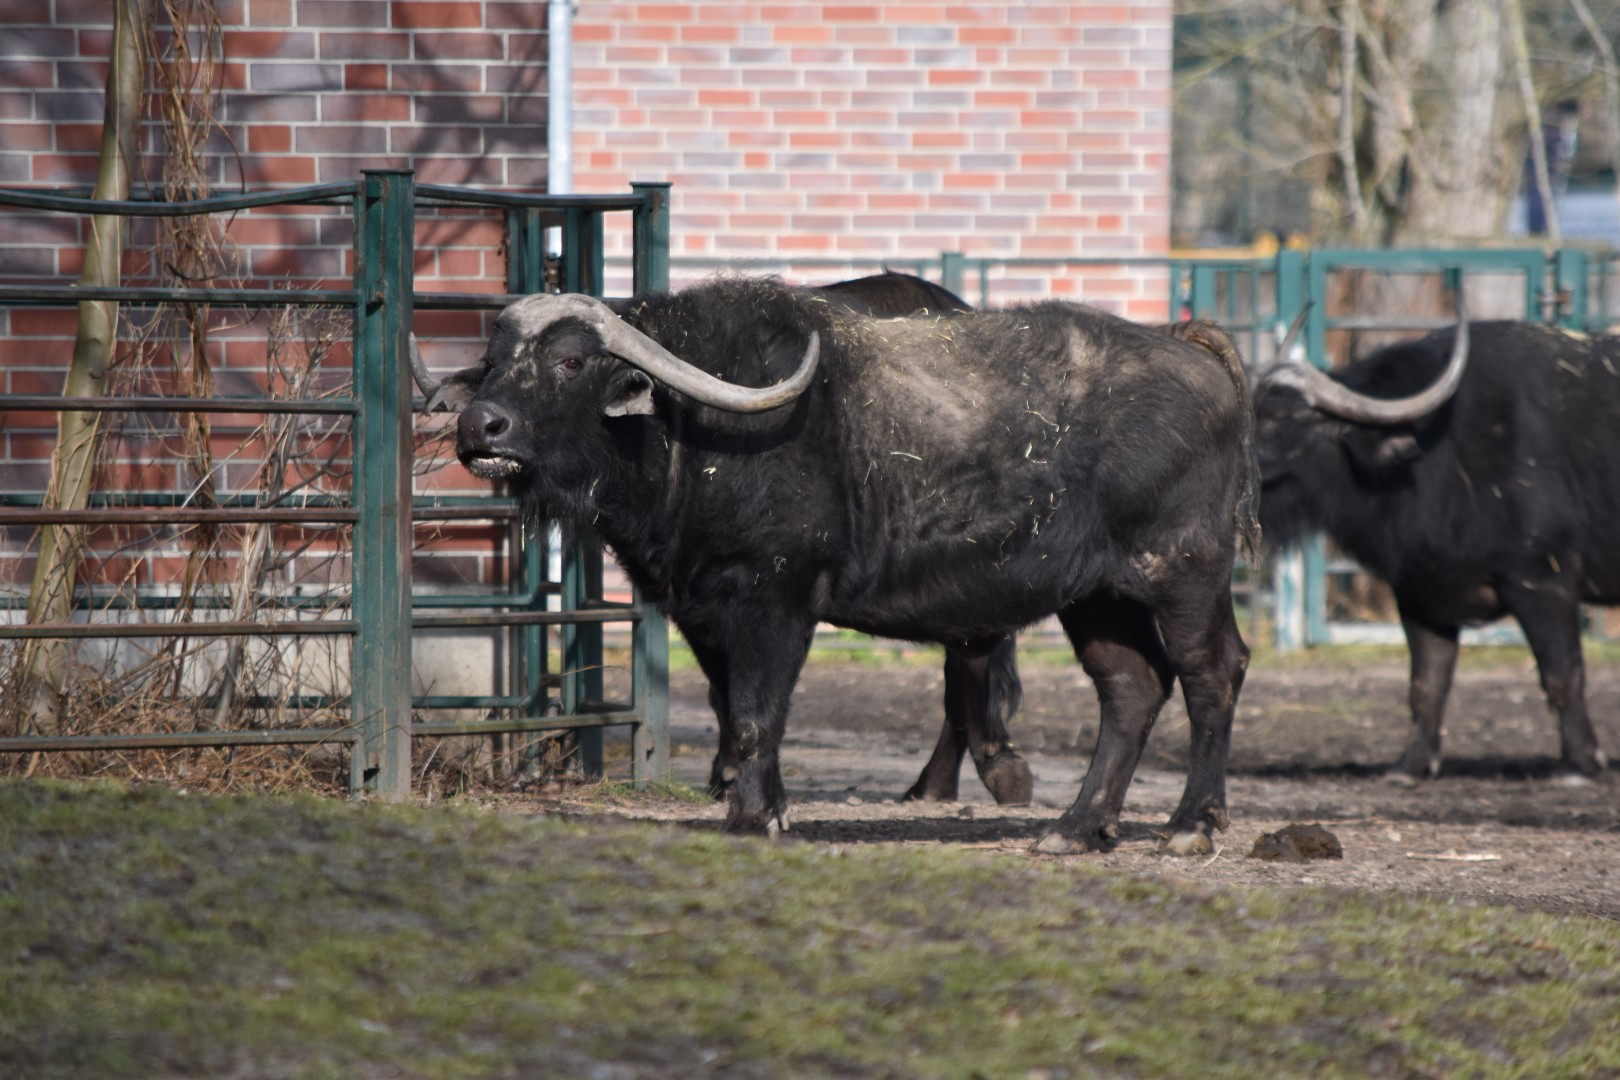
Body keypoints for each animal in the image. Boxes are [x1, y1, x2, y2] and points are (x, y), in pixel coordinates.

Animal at [416, 277, 1259, 853]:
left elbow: (759, 713)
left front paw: (754, 816)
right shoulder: (703, 609)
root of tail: (1193, 349)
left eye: (568, 360)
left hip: (1183, 572)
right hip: (1097, 597)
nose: (480, 426)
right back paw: (1078, 826)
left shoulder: (776, 597)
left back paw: (1191, 824)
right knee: (1131, 689)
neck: (690, 429)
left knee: (1212, 672)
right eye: (493, 360)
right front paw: (761, 803)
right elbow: (733, 709)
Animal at [1254, 315, 1613, 781]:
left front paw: (1579, 763)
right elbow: (1426, 684)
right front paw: (1412, 765)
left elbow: (1562, 675)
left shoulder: (1542, 582)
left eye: (1281, 417)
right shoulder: (1420, 593)